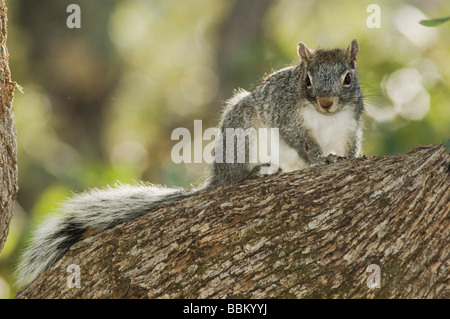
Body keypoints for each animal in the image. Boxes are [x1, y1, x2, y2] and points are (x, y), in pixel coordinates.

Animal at [15, 39, 364, 288]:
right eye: (307, 80)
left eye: (348, 78)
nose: (326, 102)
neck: (325, 118)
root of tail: (217, 177)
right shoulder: (288, 116)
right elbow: (301, 140)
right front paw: (320, 158)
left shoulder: (349, 127)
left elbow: (349, 148)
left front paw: (346, 158)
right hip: (241, 131)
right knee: (236, 177)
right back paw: (255, 173)